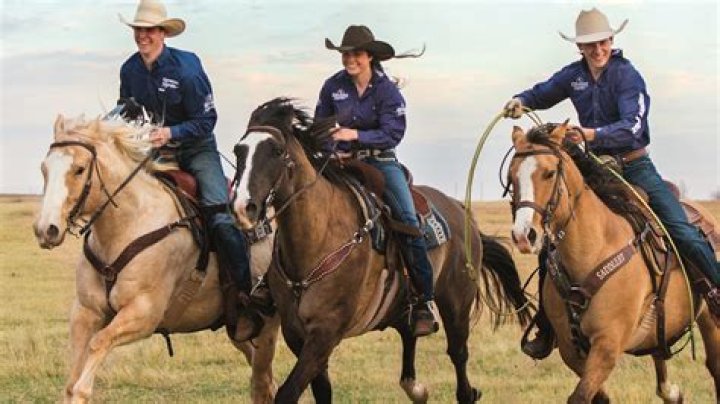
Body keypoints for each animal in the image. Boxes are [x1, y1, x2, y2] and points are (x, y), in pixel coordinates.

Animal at [32, 115, 280, 404]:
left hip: (267, 327)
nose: (46, 229)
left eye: (79, 169)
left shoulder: (144, 314)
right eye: (44, 169)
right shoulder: (85, 312)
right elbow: (71, 381)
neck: (130, 223)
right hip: (240, 329)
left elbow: (95, 351)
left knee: (263, 381)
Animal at [234, 98, 532, 403]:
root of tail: (461, 210)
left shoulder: (325, 332)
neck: (318, 239)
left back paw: (463, 390)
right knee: (410, 335)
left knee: (458, 356)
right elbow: (322, 390)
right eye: (238, 150)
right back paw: (416, 387)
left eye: (277, 151)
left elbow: (288, 392)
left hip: (457, 302)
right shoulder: (297, 335)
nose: (243, 207)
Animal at [507, 122, 719, 403]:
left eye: (550, 173)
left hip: (711, 321)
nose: (523, 235)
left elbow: (580, 396)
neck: (594, 249)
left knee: (715, 366)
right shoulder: (570, 349)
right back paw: (672, 392)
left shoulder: (607, 344)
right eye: (511, 177)